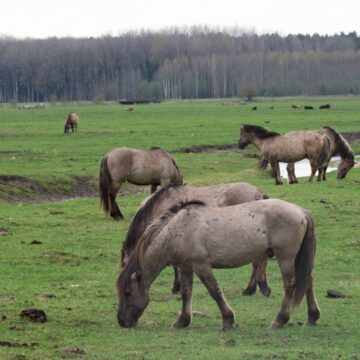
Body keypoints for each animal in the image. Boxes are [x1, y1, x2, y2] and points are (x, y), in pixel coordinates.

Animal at [116, 198, 320, 330]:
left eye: (128, 292)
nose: (122, 322)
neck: (178, 230)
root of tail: (301, 211)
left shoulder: (202, 266)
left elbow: (214, 292)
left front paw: (228, 320)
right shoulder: (185, 268)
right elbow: (186, 294)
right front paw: (182, 321)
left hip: (285, 258)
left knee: (290, 285)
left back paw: (280, 320)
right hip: (296, 259)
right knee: (308, 281)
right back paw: (312, 317)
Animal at [121, 184, 270, 296]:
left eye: (124, 265)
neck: (160, 204)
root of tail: (259, 193)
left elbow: (176, 267)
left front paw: (176, 287)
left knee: (258, 261)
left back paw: (250, 289)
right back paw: (262, 286)